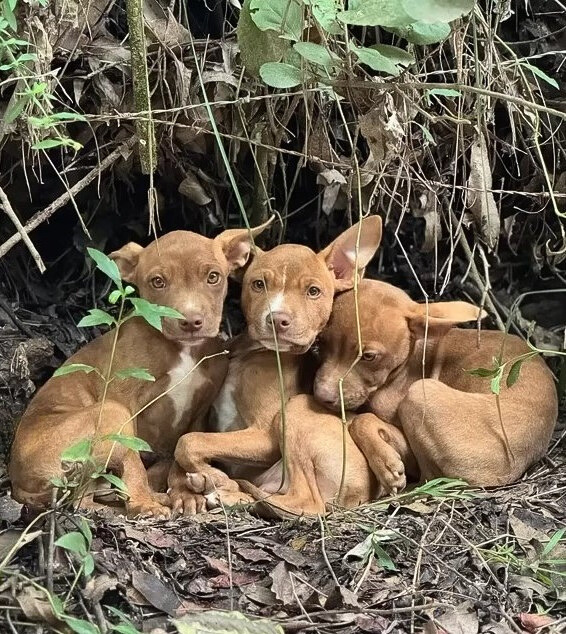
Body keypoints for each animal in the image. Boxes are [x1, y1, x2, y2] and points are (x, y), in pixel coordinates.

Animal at [8, 225, 270, 516]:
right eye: (158, 282)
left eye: (213, 277)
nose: (191, 322)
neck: (184, 350)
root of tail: (15, 482)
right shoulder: (124, 401)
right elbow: (134, 459)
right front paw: (145, 502)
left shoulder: (200, 409)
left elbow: (183, 449)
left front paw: (184, 492)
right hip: (108, 415)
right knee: (82, 501)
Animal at [172, 215, 386, 512]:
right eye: (258, 284)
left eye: (313, 291)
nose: (277, 319)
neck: (254, 354)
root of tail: (363, 492)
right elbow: (188, 441)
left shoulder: (265, 438)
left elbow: (189, 441)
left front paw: (212, 475)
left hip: (297, 412)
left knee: (307, 502)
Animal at [316, 278, 560, 492]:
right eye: (322, 342)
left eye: (368, 356)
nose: (321, 396)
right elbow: (363, 420)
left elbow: (362, 420)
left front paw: (386, 465)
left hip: (420, 394)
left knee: (427, 477)